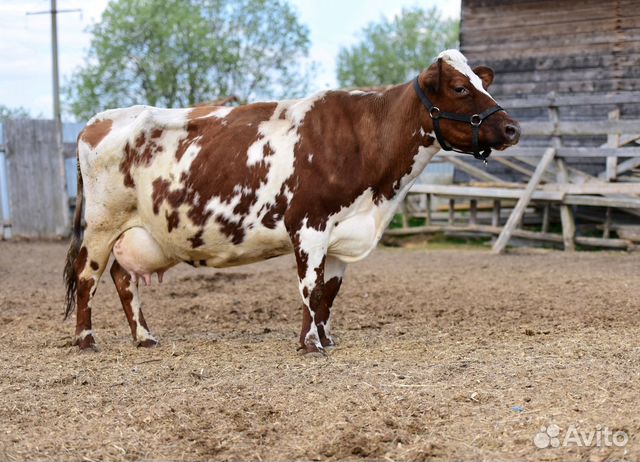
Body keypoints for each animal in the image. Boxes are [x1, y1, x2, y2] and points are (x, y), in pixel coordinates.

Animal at [62, 49, 520, 354]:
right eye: (460, 87)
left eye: (483, 83)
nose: (512, 128)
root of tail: (98, 120)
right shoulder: (309, 224)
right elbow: (310, 288)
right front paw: (310, 343)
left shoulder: (342, 234)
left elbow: (328, 292)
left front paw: (326, 338)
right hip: (102, 224)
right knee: (87, 275)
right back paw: (85, 339)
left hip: (137, 231)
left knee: (122, 277)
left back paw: (144, 336)